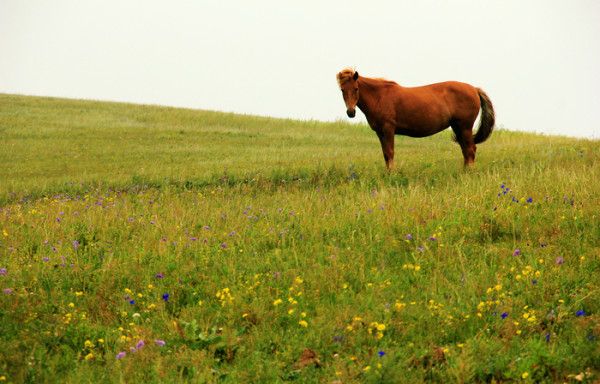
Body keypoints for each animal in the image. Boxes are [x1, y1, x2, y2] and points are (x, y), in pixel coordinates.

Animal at [336, 68, 494, 170]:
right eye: (342, 90)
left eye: (356, 89)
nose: (351, 112)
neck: (379, 97)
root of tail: (474, 89)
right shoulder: (380, 133)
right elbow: (386, 154)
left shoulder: (388, 129)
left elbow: (390, 152)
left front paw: (391, 174)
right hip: (458, 127)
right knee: (466, 150)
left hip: (465, 127)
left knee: (470, 149)